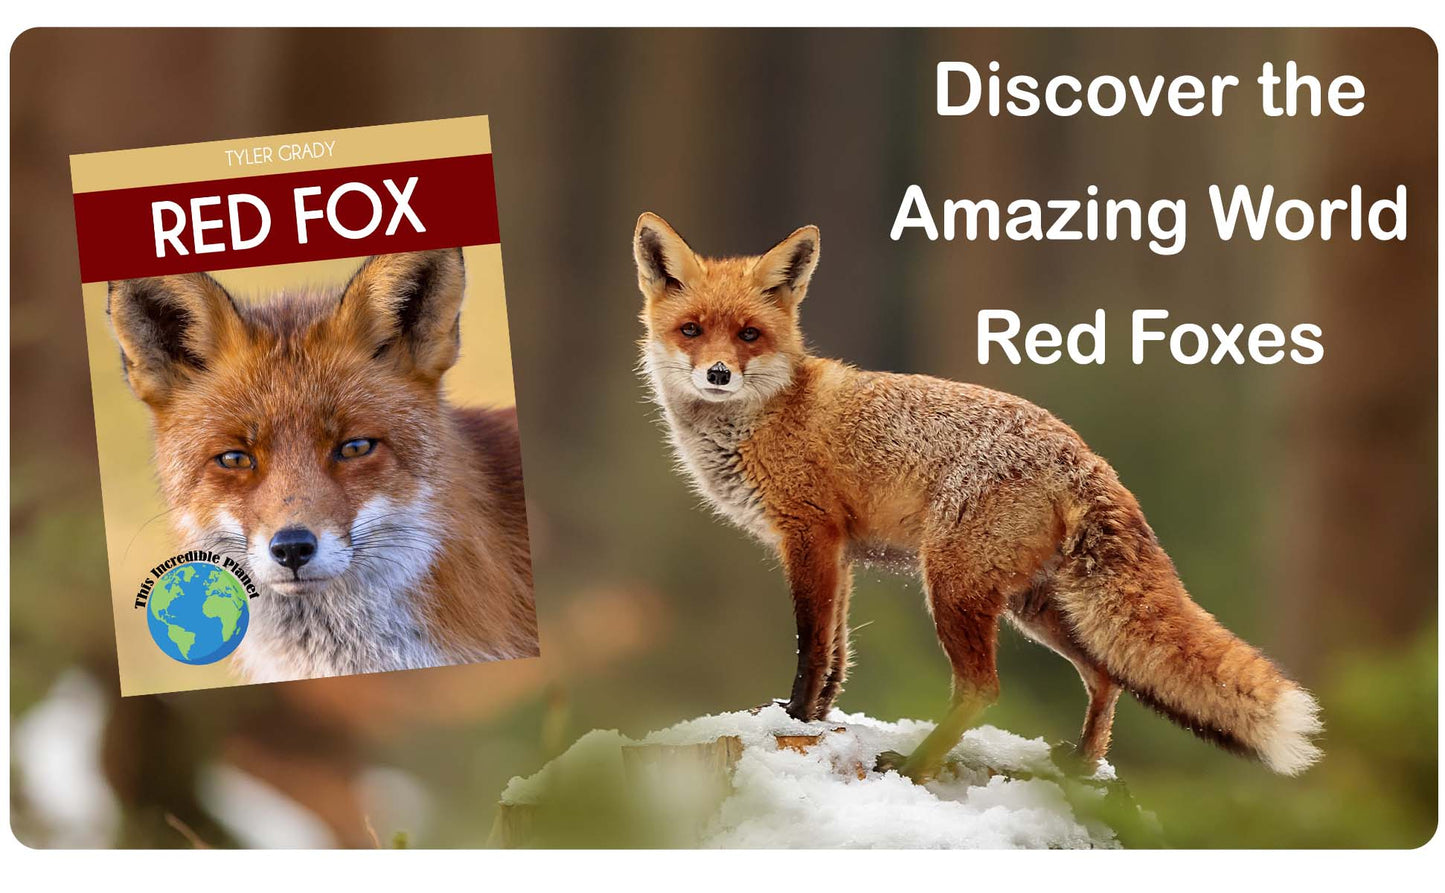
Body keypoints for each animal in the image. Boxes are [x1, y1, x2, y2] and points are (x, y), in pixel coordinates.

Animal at [633, 212, 1323, 782]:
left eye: (749, 335)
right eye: (692, 330)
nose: (717, 373)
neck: (765, 414)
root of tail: (1084, 454)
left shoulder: (809, 536)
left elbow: (812, 646)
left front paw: (796, 718)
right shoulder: (840, 553)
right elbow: (838, 653)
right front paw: (819, 718)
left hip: (954, 584)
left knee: (984, 689)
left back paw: (918, 766)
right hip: (1035, 605)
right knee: (1106, 675)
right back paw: (1081, 764)